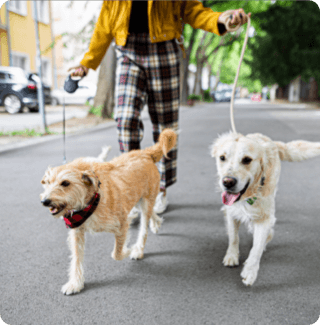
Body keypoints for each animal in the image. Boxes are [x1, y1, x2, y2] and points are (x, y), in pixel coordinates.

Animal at [40, 129, 178, 294]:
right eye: (48, 183)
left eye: (65, 183)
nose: (45, 201)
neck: (90, 203)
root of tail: (144, 153)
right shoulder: (77, 232)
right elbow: (76, 259)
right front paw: (75, 283)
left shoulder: (122, 224)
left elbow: (116, 254)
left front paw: (129, 249)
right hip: (137, 199)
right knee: (150, 213)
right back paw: (156, 223)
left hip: (144, 202)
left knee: (144, 229)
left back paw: (138, 249)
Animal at [210, 131, 320, 284]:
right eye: (222, 158)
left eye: (247, 160)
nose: (228, 182)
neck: (249, 194)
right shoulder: (231, 211)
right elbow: (233, 236)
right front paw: (231, 256)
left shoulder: (265, 217)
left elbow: (257, 247)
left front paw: (250, 271)